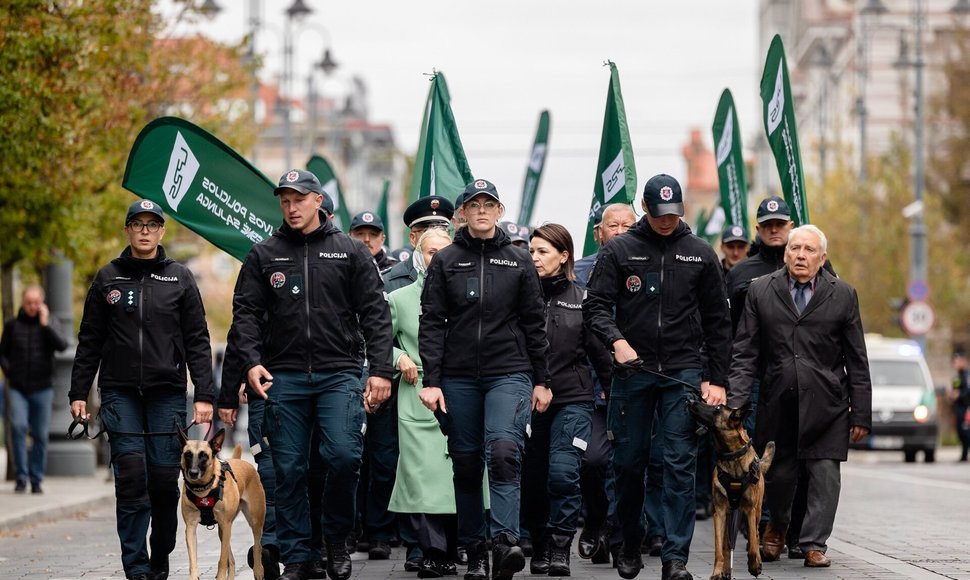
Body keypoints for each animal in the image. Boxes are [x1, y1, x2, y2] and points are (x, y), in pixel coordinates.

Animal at [179, 426, 266, 580]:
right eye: (188, 455)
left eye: (204, 456)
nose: (193, 473)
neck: (204, 489)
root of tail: (239, 460)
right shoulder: (191, 527)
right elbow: (193, 560)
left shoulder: (226, 524)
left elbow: (222, 559)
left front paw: (220, 576)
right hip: (222, 530)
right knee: (231, 559)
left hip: (254, 521)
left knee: (257, 546)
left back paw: (258, 570)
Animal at [684, 402, 776, 576]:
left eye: (717, 408)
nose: (691, 401)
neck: (732, 456)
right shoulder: (719, 512)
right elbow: (719, 548)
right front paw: (717, 572)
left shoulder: (750, 510)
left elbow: (752, 545)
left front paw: (754, 565)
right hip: (728, 515)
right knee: (726, 543)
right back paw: (726, 569)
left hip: (757, 511)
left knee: (756, 534)